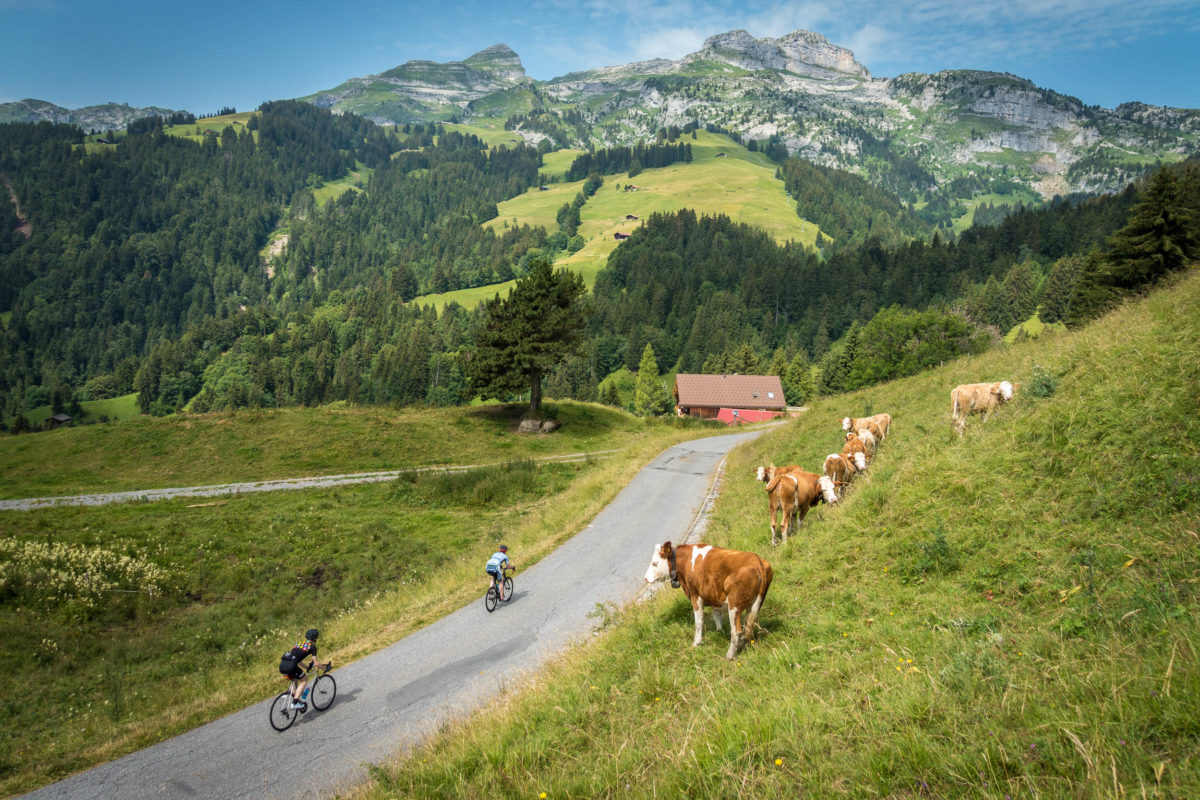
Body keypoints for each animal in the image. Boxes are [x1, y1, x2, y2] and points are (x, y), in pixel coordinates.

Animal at [643, 542, 772, 662]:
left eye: (654, 563)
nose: (645, 578)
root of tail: (757, 561)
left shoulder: (695, 596)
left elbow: (699, 622)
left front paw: (696, 643)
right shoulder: (713, 595)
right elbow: (717, 615)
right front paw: (720, 631)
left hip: (734, 605)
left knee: (737, 631)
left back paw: (729, 656)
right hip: (756, 604)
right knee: (748, 627)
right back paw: (740, 646)